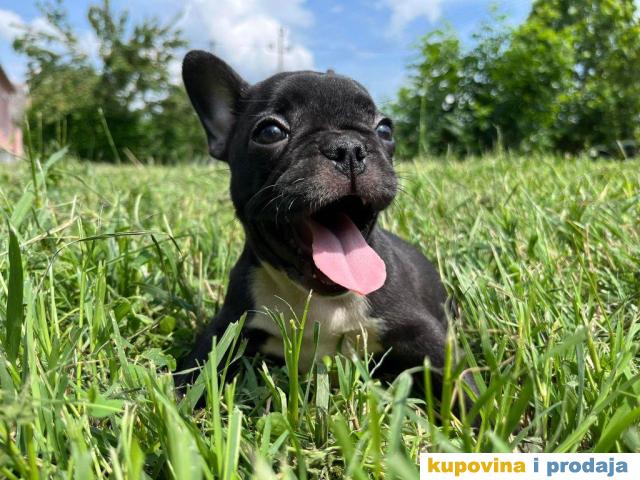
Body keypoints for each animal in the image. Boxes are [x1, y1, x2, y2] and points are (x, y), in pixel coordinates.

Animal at [178, 50, 465, 398]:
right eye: (270, 132)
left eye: (385, 129)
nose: (349, 148)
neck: (318, 299)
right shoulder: (227, 328)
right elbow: (188, 381)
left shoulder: (423, 334)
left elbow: (462, 385)